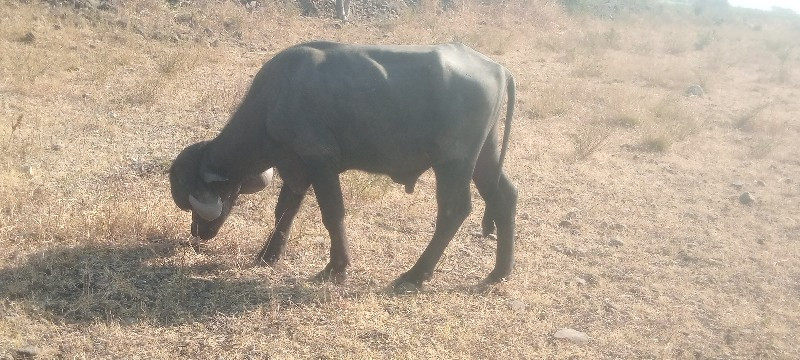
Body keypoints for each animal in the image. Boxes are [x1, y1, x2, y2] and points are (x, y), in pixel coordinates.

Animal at [170, 41, 520, 292]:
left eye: (198, 202)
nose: (198, 232)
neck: (274, 100)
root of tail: (499, 69)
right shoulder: (295, 168)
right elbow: (284, 211)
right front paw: (268, 255)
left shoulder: (320, 163)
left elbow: (332, 213)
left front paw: (336, 267)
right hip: (485, 155)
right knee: (505, 197)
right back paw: (499, 272)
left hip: (453, 162)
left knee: (453, 210)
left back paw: (415, 275)